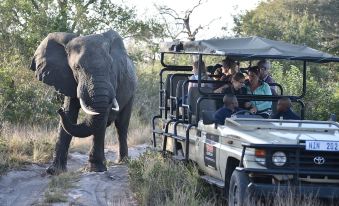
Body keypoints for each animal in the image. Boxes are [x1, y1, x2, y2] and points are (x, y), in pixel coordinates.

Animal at [30, 29, 137, 174]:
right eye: (77, 67)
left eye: (110, 66)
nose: (59, 109)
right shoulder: (68, 79)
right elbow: (70, 114)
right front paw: (54, 171)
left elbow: (101, 116)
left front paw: (95, 169)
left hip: (132, 92)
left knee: (122, 125)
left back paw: (123, 162)